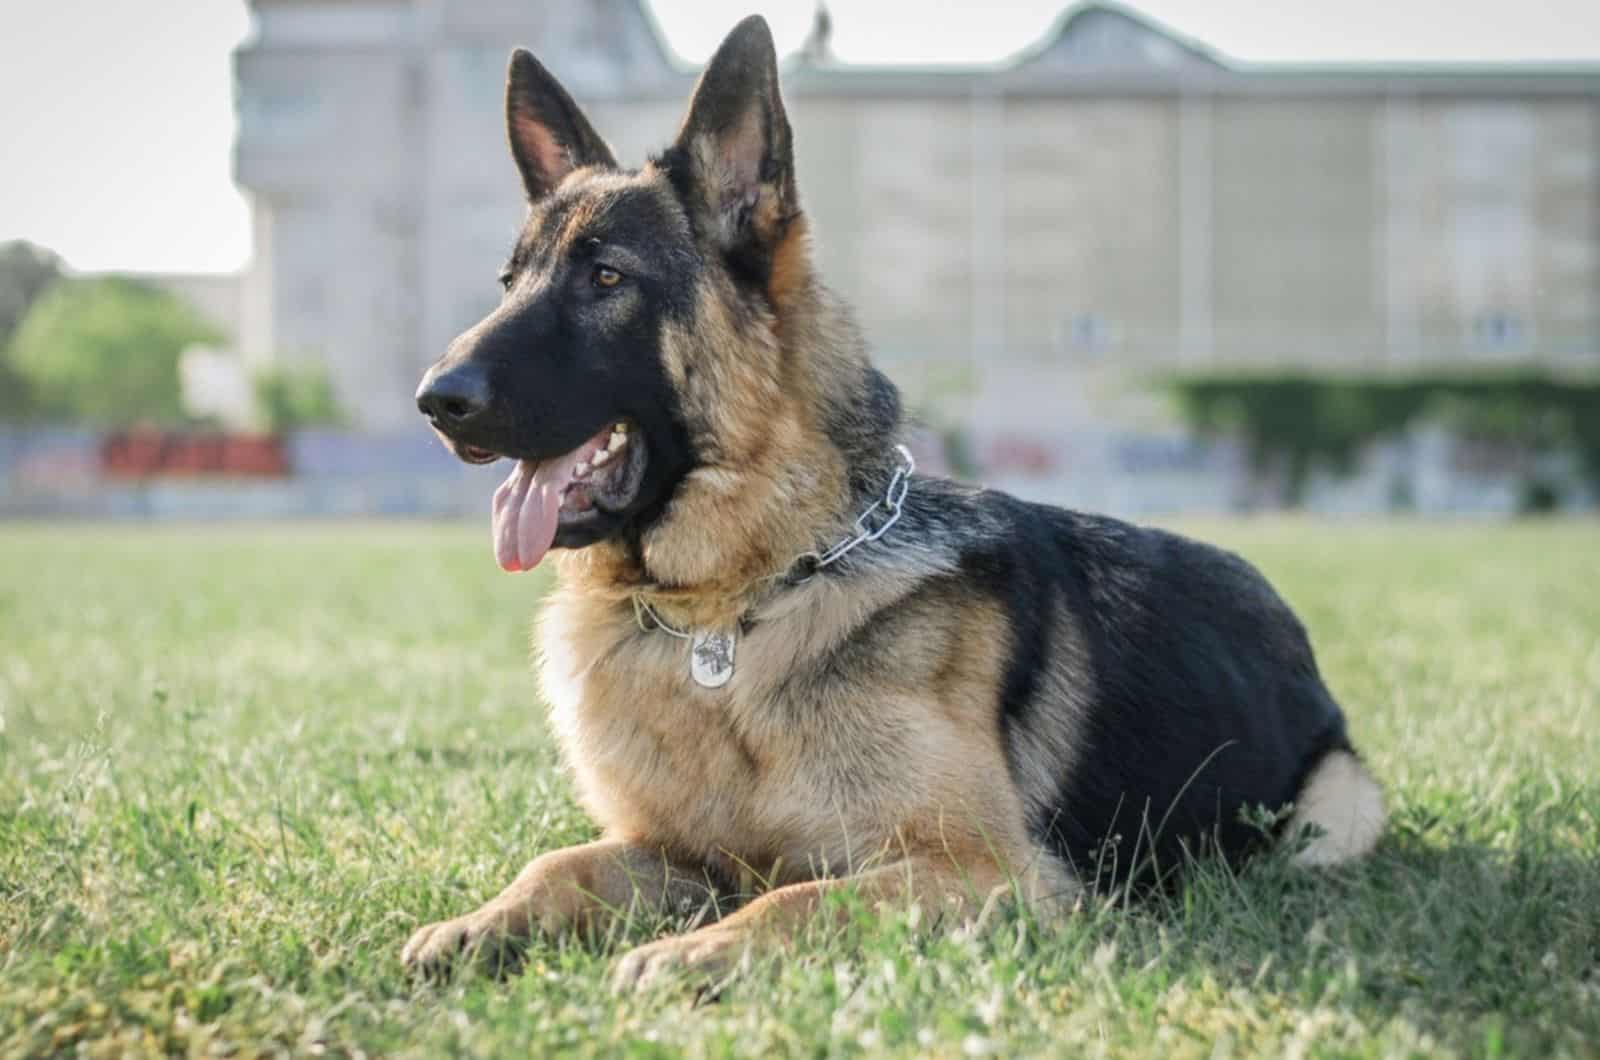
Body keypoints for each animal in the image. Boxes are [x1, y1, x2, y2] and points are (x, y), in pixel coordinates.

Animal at [406, 18, 1382, 999]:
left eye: (606, 278)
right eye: (510, 283)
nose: (435, 399)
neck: (737, 607)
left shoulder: (988, 872)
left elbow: (797, 899)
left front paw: (695, 951)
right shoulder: (672, 849)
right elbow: (558, 863)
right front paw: (476, 923)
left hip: (1329, 817)